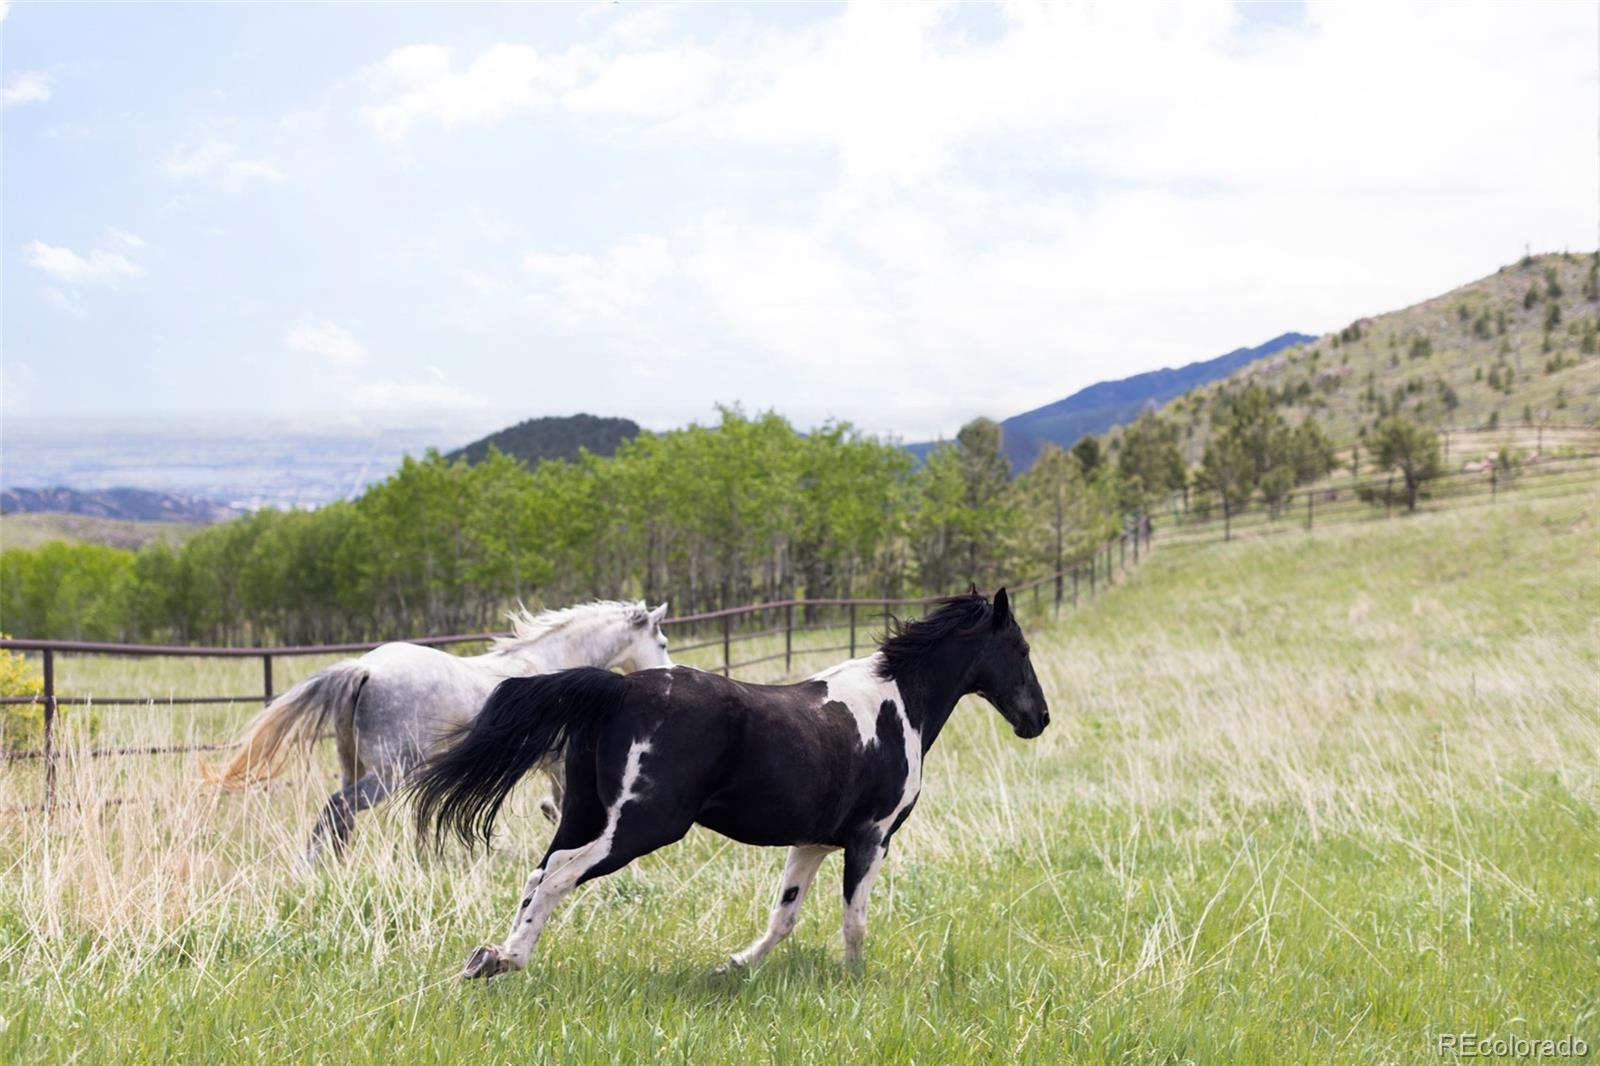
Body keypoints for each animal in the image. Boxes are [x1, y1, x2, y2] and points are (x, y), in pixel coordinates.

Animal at [204, 598, 668, 864]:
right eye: (662, 643)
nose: (667, 673)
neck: (553, 664)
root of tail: (365, 668)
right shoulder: (558, 760)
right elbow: (563, 802)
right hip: (390, 774)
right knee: (338, 807)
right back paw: (315, 866)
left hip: (354, 764)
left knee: (341, 814)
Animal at [406, 585, 1043, 973]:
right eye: (1020, 647)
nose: (1039, 718)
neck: (895, 704)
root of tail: (620, 688)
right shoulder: (871, 838)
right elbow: (855, 922)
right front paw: (855, 981)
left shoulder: (812, 842)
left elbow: (784, 916)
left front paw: (733, 966)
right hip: (640, 826)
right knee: (559, 874)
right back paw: (506, 961)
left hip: (585, 813)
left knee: (539, 872)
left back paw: (491, 957)